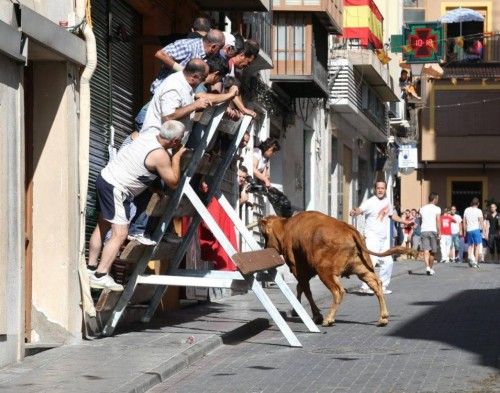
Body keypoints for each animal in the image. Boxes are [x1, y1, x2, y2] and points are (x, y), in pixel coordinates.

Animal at [260, 210, 416, 326]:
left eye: (265, 235)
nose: (265, 247)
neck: (286, 228)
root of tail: (349, 230)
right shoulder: (307, 272)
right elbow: (301, 288)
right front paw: (296, 310)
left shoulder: (298, 269)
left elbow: (306, 290)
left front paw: (315, 315)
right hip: (363, 269)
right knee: (376, 284)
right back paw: (383, 317)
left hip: (325, 272)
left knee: (338, 291)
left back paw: (329, 319)